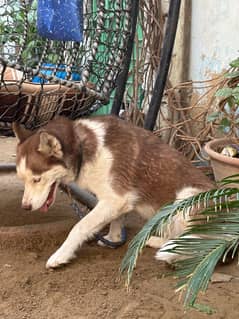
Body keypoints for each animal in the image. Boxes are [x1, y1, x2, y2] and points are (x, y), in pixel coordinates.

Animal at [12, 116, 213, 268]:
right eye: (22, 179)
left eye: (37, 179)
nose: (25, 207)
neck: (82, 147)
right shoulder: (117, 201)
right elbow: (116, 221)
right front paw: (113, 238)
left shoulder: (115, 199)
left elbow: (79, 227)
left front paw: (61, 255)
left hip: (187, 196)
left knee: (201, 243)